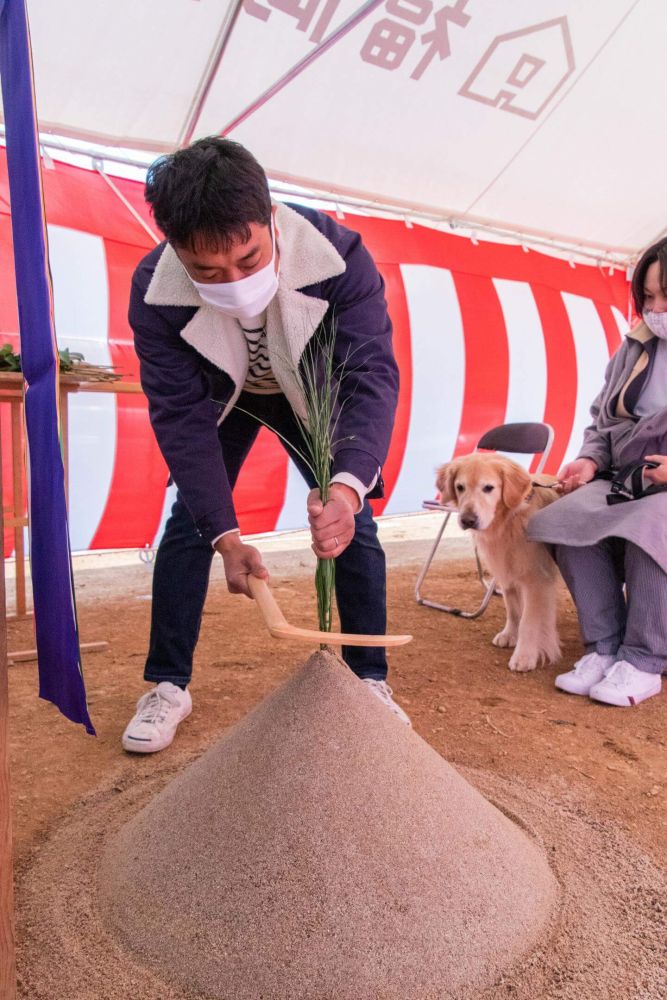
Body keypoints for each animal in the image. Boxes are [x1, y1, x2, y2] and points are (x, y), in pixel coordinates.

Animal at [436, 454, 560, 672]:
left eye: (488, 488)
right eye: (460, 487)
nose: (467, 520)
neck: (508, 521)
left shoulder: (536, 579)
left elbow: (529, 621)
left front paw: (525, 655)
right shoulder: (505, 570)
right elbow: (512, 608)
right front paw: (509, 634)